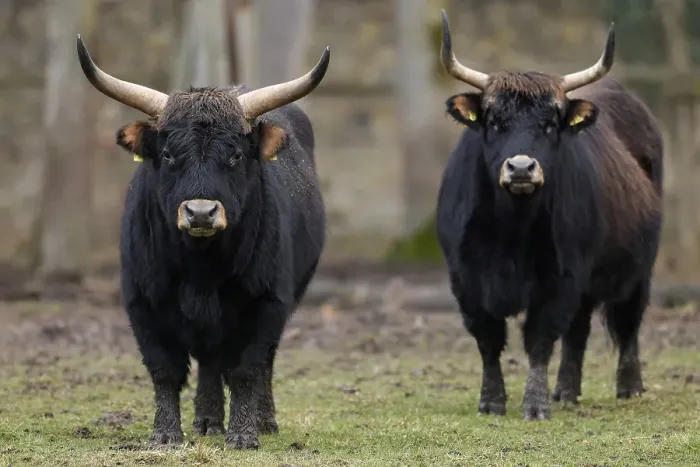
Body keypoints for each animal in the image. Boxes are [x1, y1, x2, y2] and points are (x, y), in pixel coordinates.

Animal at [75, 36, 330, 449]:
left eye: (236, 155)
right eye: (167, 154)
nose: (200, 213)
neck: (200, 270)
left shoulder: (269, 303)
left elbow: (247, 369)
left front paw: (243, 434)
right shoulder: (141, 303)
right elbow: (164, 369)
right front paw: (165, 434)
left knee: (259, 365)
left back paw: (262, 420)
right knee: (210, 361)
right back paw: (208, 420)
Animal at [435, 11, 663, 421]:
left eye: (550, 124)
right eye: (495, 122)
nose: (521, 168)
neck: (510, 232)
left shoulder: (560, 279)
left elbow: (540, 340)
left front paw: (535, 404)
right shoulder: (465, 280)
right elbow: (488, 339)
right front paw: (491, 401)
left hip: (638, 270)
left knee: (627, 324)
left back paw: (629, 386)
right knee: (579, 332)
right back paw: (566, 390)